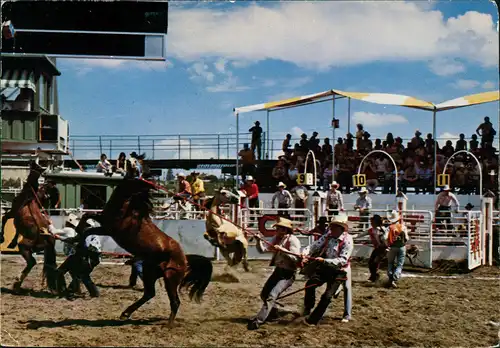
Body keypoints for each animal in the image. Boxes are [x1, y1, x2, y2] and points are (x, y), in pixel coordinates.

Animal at [0, 162, 57, 292]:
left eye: (35, 165)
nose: (31, 161)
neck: (30, 195)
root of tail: (48, 236)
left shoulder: (12, 212)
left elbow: (4, 218)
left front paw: (2, 238)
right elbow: (16, 231)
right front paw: (11, 242)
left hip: (24, 247)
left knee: (32, 262)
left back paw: (17, 283)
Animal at [75, 177, 212, 326]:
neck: (130, 211)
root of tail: (185, 259)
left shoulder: (110, 229)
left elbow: (88, 228)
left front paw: (80, 242)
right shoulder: (104, 224)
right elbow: (88, 217)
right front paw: (77, 234)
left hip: (170, 279)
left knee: (174, 301)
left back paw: (168, 325)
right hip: (150, 272)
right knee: (149, 293)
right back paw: (126, 313)